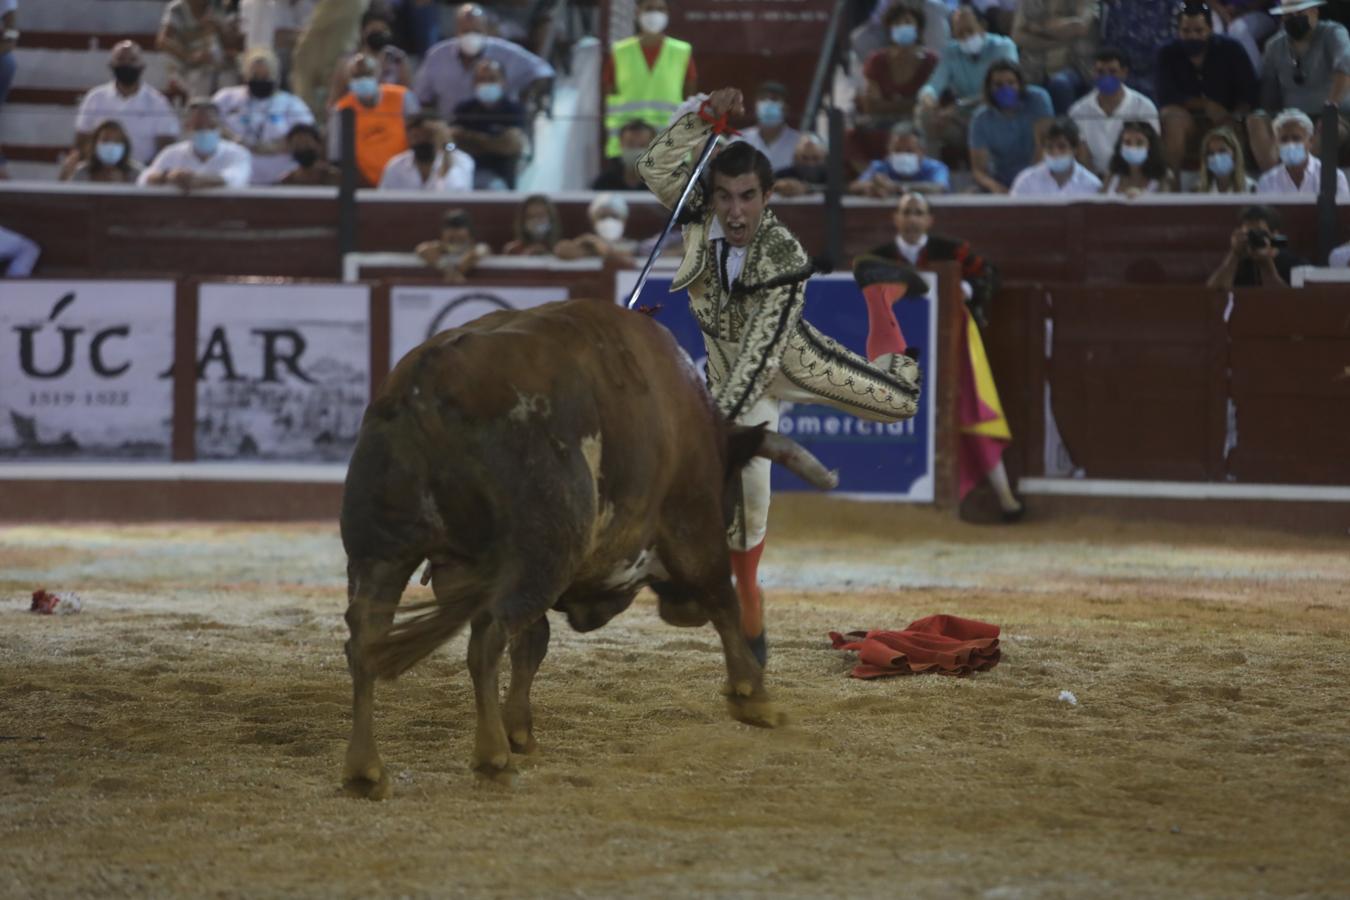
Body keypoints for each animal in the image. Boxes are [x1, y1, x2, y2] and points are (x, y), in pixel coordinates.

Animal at [340, 299, 831, 798]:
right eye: (729, 485)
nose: (682, 611)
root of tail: (428, 385)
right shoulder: (692, 526)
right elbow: (723, 601)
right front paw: (755, 698)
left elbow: (534, 641)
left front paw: (521, 729)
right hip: (544, 553)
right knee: (486, 639)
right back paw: (491, 757)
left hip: (382, 554)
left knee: (365, 639)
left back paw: (365, 769)